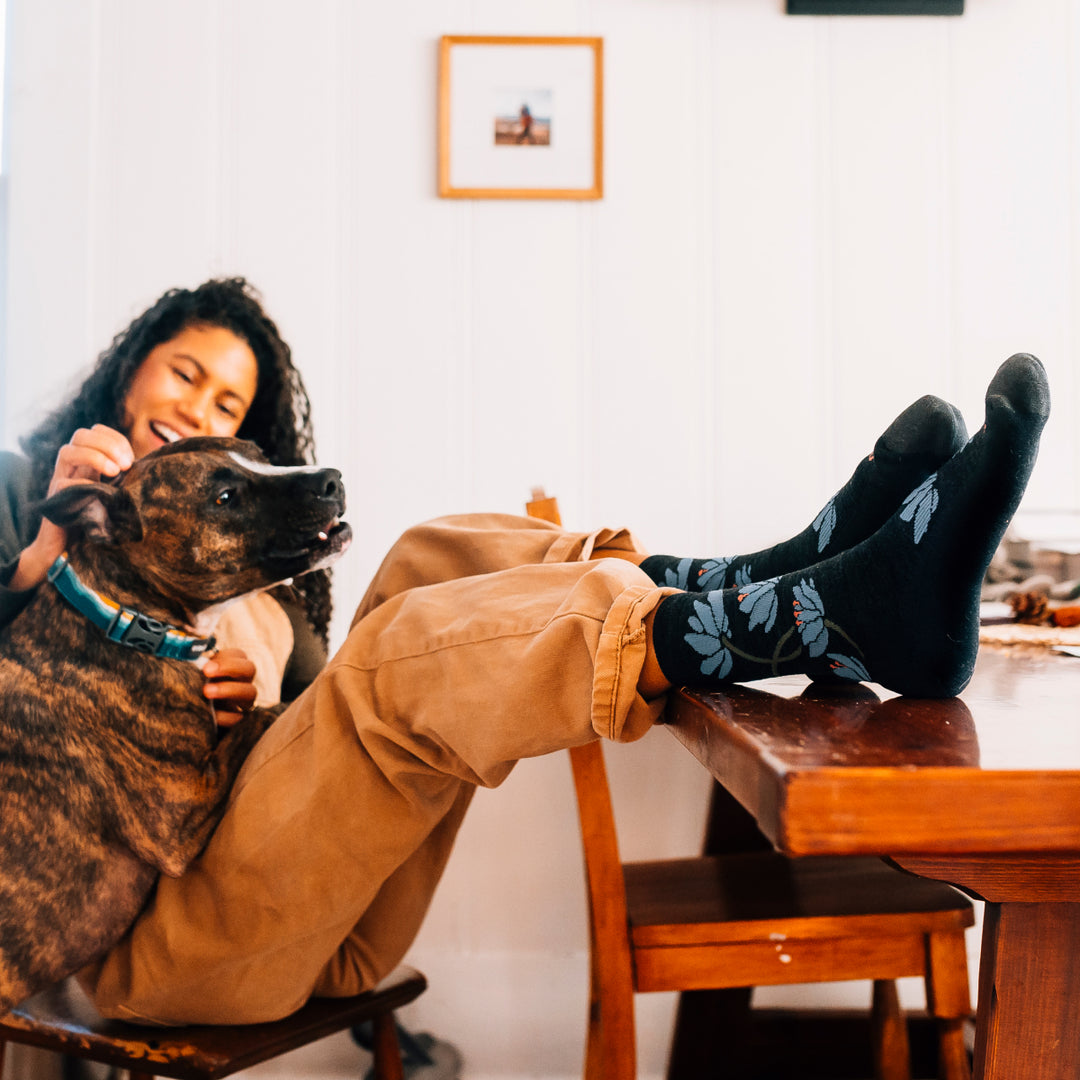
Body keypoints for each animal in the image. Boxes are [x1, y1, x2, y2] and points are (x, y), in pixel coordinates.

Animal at [0, 434, 349, 1006]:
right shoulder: (181, 808)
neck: (123, 619)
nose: (332, 480)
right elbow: (259, 713)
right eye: (225, 499)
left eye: (262, 455)